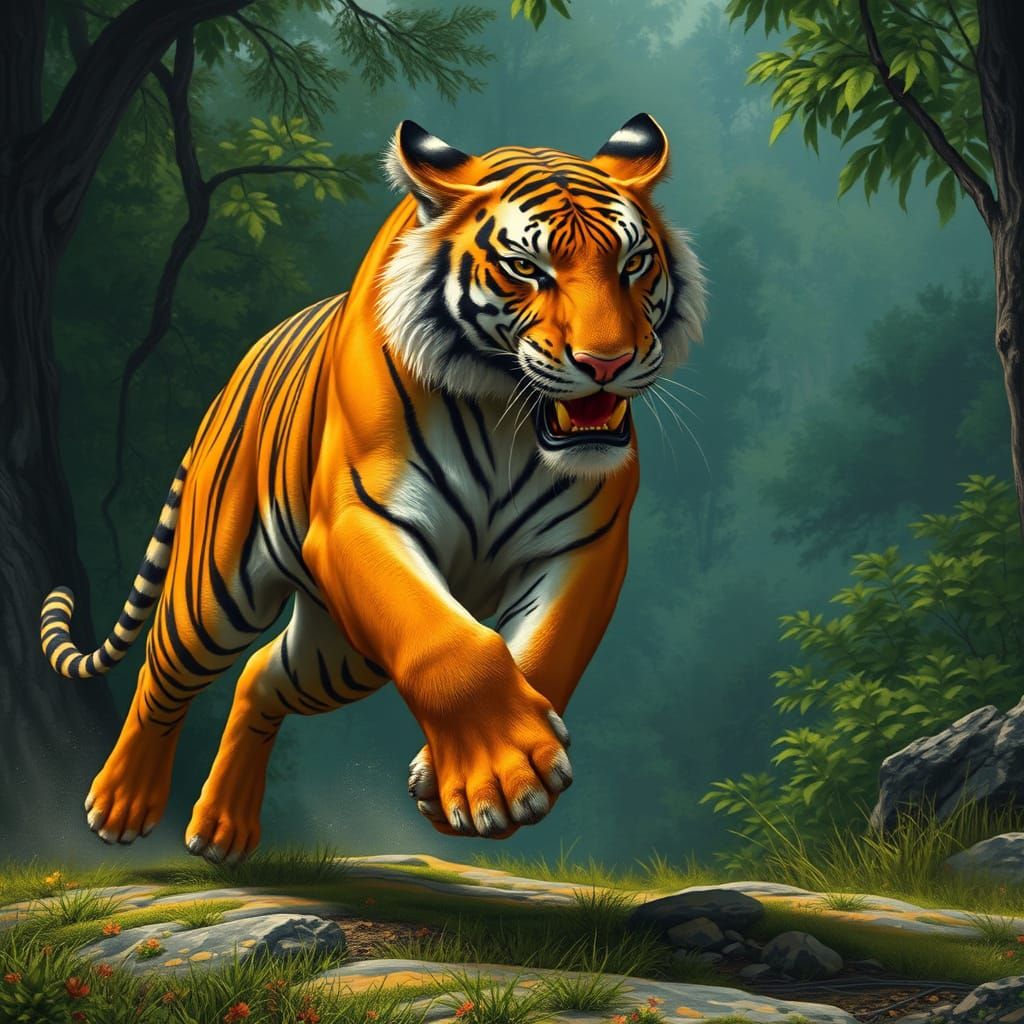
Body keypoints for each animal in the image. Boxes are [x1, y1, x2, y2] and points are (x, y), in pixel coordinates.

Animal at [39, 113, 705, 863]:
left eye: (632, 263)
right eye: (526, 269)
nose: (607, 362)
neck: (505, 415)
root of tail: (234, 377)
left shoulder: (587, 544)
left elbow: (544, 649)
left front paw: (457, 779)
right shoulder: (360, 521)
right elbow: (446, 642)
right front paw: (502, 774)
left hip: (339, 653)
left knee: (260, 675)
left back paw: (223, 828)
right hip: (215, 593)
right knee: (162, 667)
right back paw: (120, 803)